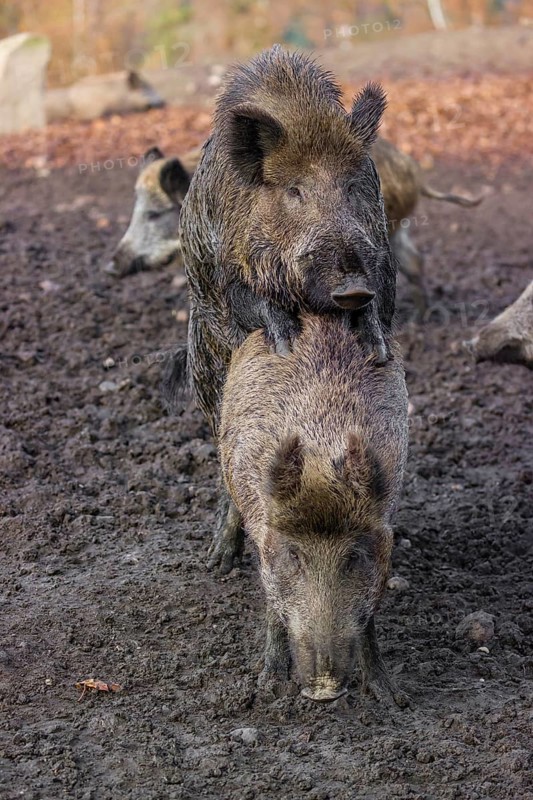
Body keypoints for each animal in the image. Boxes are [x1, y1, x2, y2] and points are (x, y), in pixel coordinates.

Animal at [219, 313, 409, 703]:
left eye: (353, 557)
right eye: (294, 555)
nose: (324, 688)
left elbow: (367, 616)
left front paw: (392, 698)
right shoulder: (268, 547)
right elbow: (274, 607)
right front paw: (269, 688)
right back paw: (219, 564)